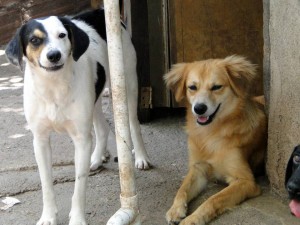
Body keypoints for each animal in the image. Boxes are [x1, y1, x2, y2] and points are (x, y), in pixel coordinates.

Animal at [4, 8, 150, 225]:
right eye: (34, 40)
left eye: (62, 35)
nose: (54, 55)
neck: (53, 88)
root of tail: (99, 10)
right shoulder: (40, 140)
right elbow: (46, 184)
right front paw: (48, 216)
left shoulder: (81, 140)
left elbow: (79, 187)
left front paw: (78, 218)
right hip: (94, 97)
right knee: (102, 128)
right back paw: (96, 158)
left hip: (127, 84)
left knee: (133, 123)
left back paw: (141, 157)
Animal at [164, 55, 268, 225]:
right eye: (192, 87)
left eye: (216, 87)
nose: (199, 108)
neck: (210, 134)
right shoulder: (198, 168)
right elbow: (182, 189)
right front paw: (175, 209)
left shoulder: (245, 181)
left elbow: (213, 199)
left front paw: (194, 219)